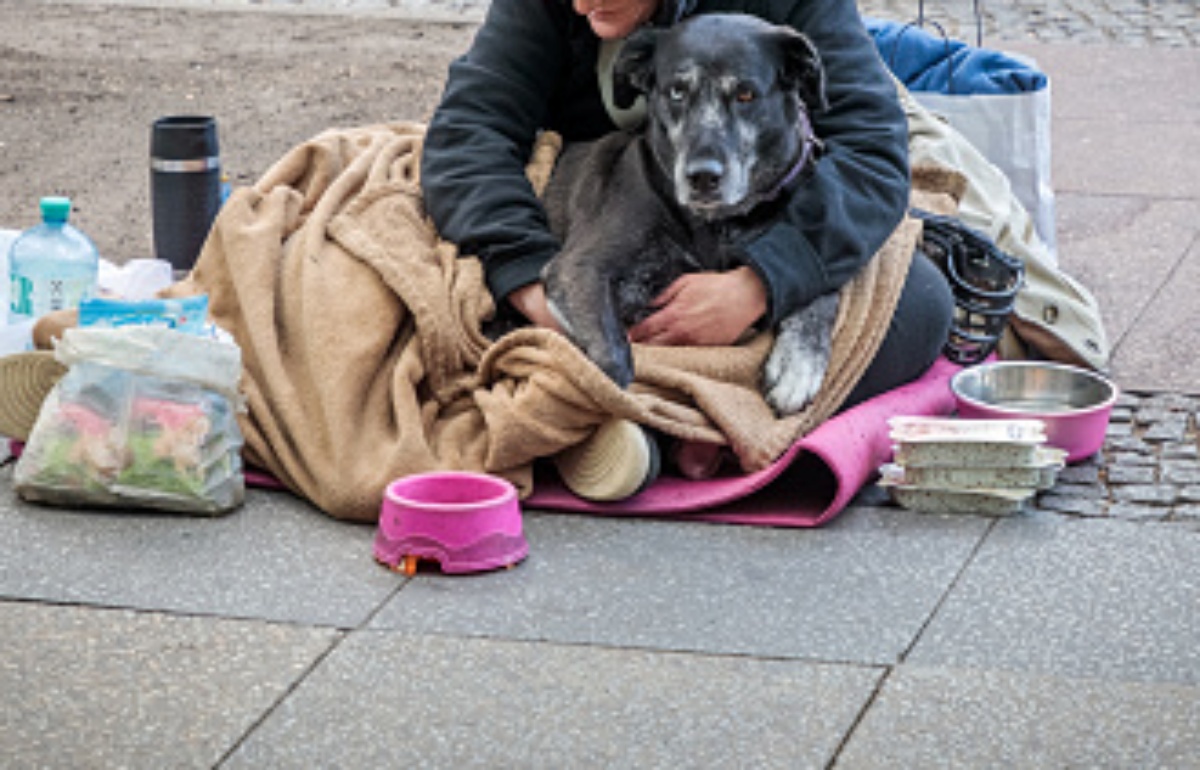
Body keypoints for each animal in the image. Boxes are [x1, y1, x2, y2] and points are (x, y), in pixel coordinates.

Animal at [540, 11, 840, 412]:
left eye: (745, 94)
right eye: (677, 91)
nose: (702, 177)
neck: (718, 224)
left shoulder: (794, 243)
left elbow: (821, 287)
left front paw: (799, 363)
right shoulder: (577, 268)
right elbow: (614, 363)